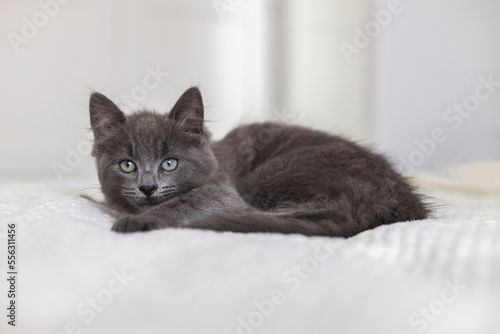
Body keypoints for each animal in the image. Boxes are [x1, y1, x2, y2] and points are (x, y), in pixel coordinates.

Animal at [90, 87, 430, 236]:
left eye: (169, 163)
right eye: (127, 165)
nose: (147, 187)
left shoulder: (223, 191)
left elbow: (184, 202)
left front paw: (135, 221)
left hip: (273, 176)